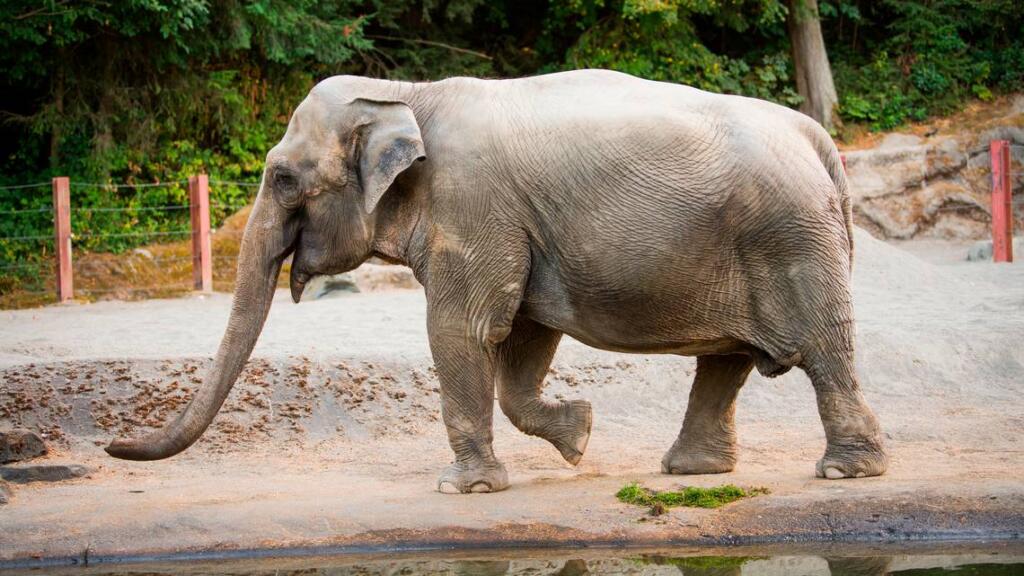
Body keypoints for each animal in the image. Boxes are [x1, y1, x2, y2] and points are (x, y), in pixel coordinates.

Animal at [105, 67, 888, 487]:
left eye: (281, 177)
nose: (111, 446)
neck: (403, 93)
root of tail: (816, 137)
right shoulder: (518, 227)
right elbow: (523, 337)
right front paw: (579, 435)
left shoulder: (472, 205)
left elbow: (465, 328)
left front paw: (465, 489)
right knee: (726, 359)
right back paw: (692, 472)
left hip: (791, 239)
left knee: (823, 350)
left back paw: (845, 472)